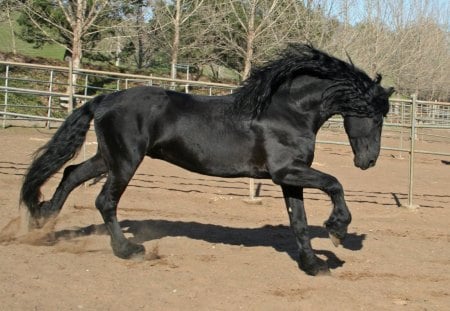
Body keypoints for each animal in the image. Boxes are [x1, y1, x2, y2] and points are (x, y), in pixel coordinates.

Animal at [21, 44, 394, 276]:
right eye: (376, 117)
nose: (369, 161)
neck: (286, 111)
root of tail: (103, 99)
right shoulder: (286, 171)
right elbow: (334, 183)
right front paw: (337, 231)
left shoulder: (290, 178)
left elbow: (299, 222)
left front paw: (313, 265)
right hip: (125, 160)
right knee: (104, 200)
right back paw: (127, 250)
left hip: (108, 157)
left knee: (70, 173)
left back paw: (43, 225)